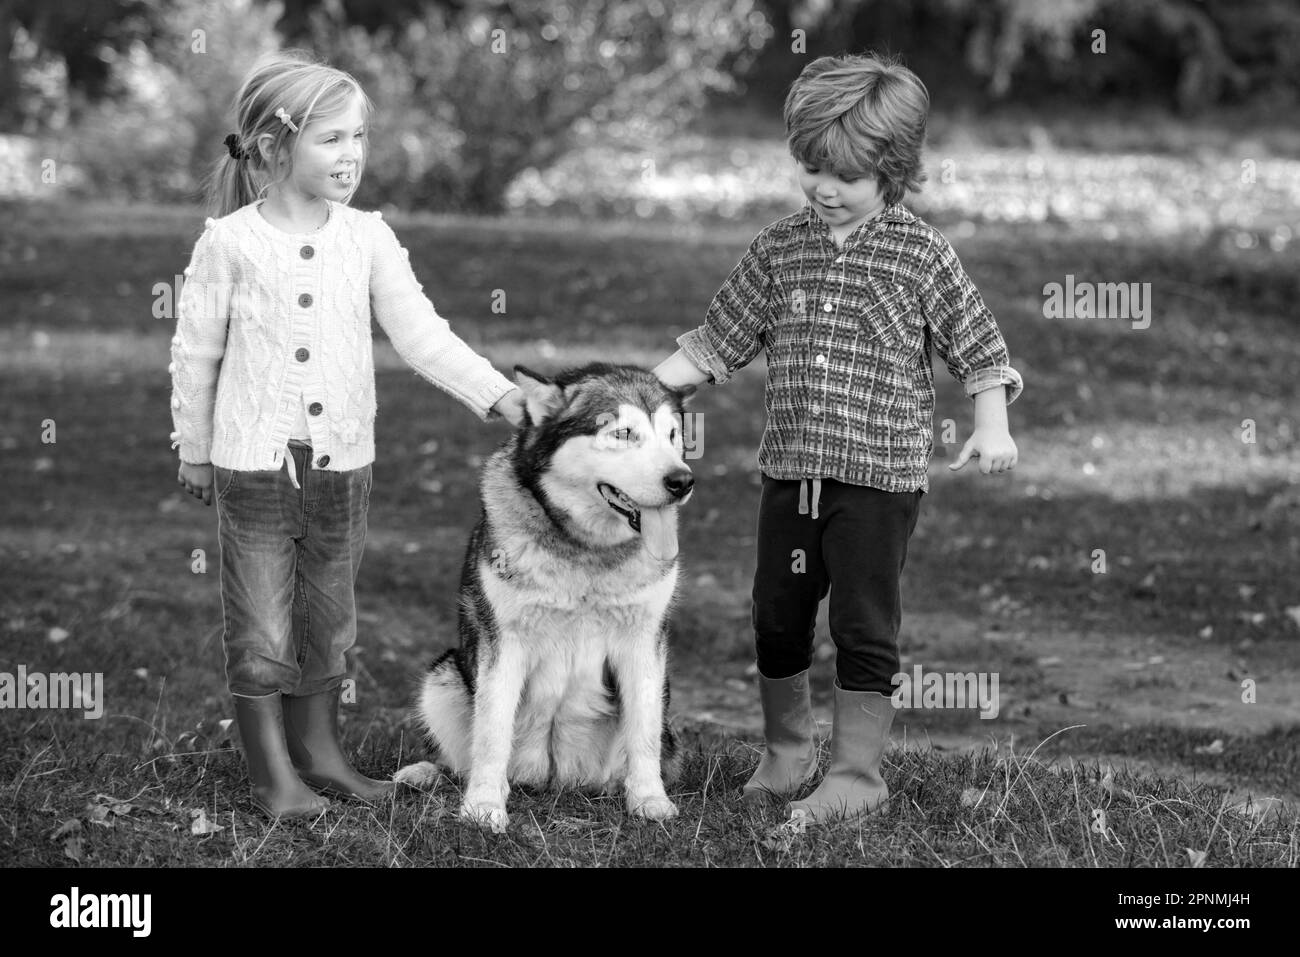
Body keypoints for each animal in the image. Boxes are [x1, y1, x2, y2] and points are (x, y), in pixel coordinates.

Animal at [395, 361, 696, 826]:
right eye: (623, 434)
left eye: (672, 435)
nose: (682, 480)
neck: (585, 552)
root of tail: (554, 779)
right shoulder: (503, 642)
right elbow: (491, 734)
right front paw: (484, 807)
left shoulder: (645, 643)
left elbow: (643, 733)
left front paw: (649, 800)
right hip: (443, 676)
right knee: (459, 761)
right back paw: (425, 773)